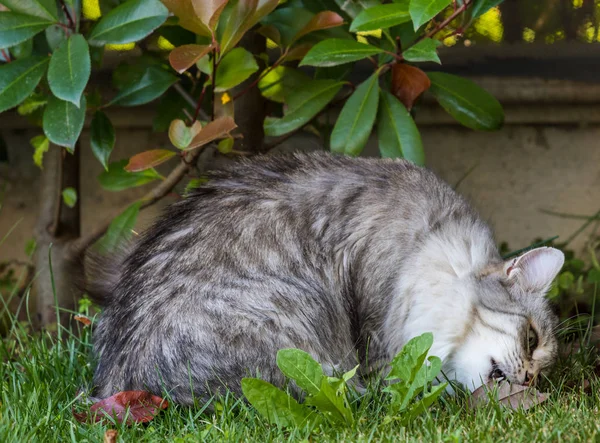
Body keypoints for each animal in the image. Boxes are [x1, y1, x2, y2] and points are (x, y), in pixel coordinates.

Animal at [89, 153, 564, 406]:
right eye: (532, 340)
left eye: (542, 371)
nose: (529, 380)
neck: (435, 242)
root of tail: (123, 381)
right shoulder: (373, 310)